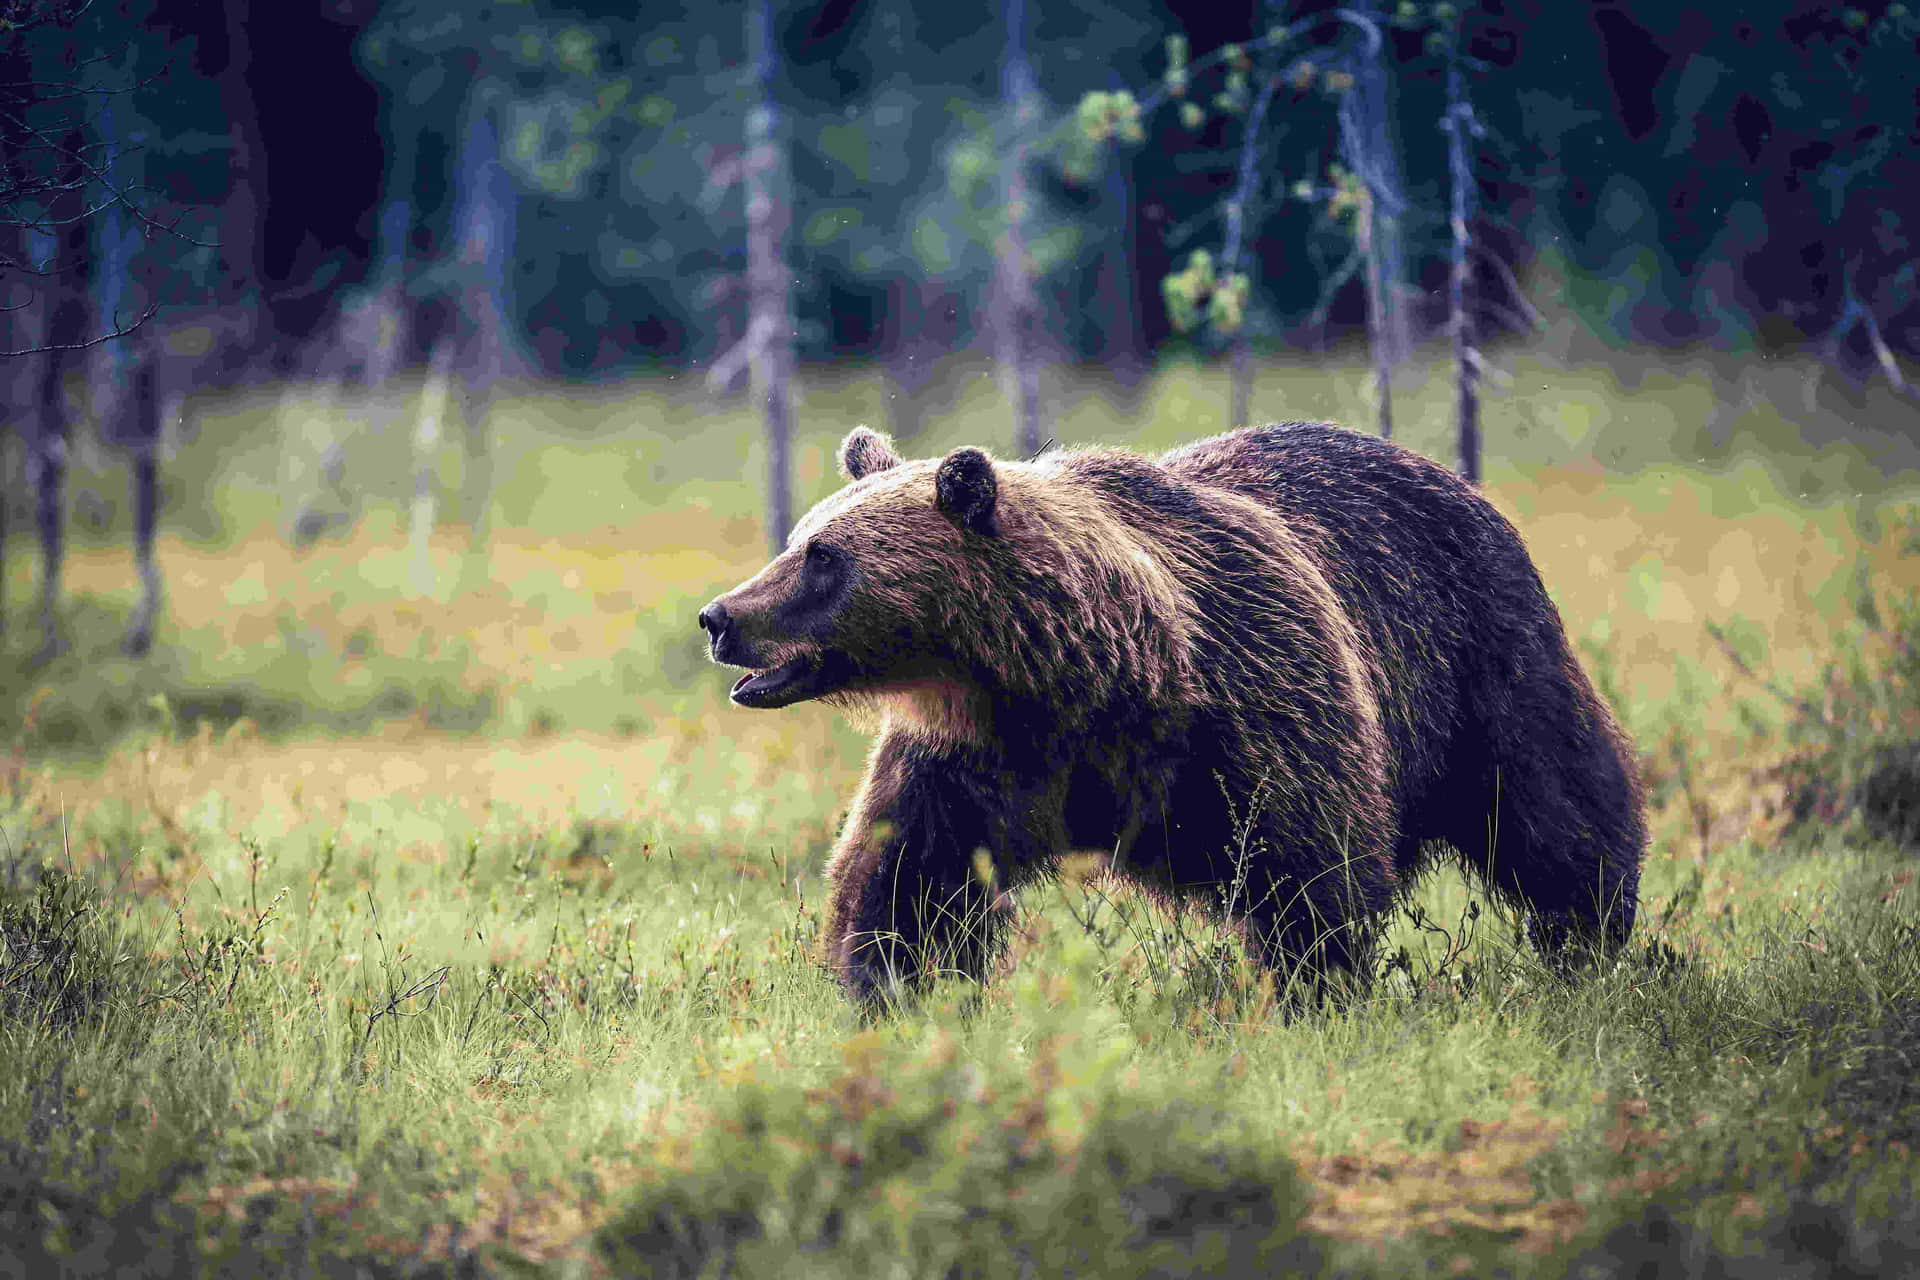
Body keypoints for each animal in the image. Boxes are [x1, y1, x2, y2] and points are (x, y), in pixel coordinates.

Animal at [698, 422, 1646, 1007]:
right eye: (799, 539)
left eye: (823, 559)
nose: (720, 617)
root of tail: (1458, 481)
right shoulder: (972, 757)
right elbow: (907, 879)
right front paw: (893, 987)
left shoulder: (1255, 700)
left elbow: (1311, 868)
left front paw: (1315, 991)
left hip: (1483, 656)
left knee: (1555, 807)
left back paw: (1592, 939)